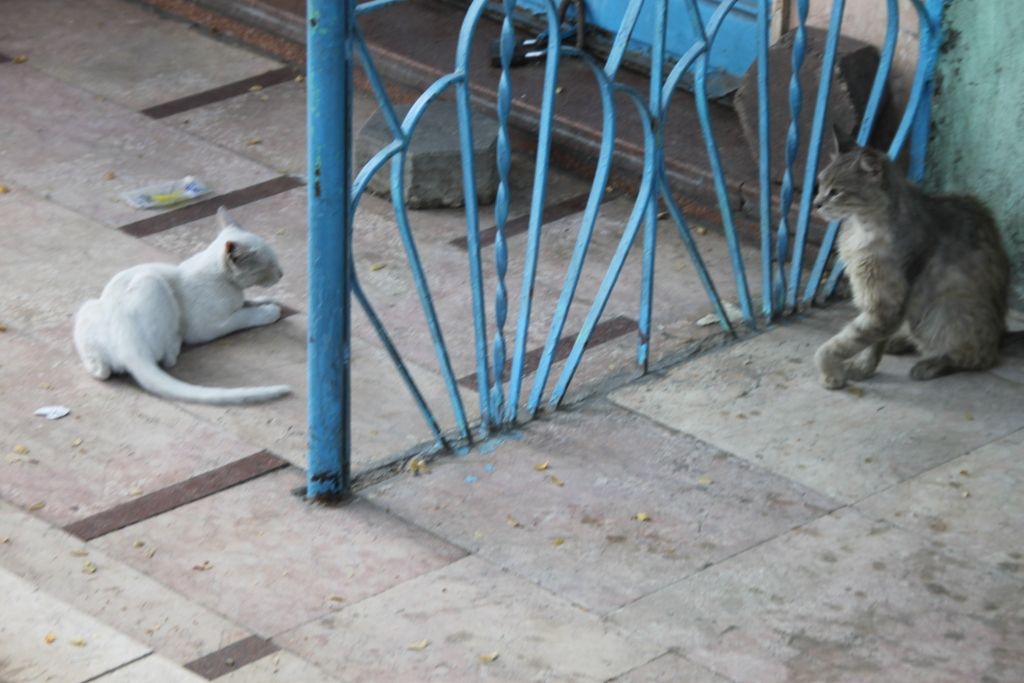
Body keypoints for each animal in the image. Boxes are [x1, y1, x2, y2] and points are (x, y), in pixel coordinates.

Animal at [74, 205, 292, 403]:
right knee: (167, 359)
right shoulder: (209, 327)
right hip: (153, 283)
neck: (229, 285)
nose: (282, 273)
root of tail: (127, 345)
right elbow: (243, 316)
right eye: (270, 265)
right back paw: (175, 342)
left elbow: (246, 302)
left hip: (87, 307)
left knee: (101, 372)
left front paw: (265, 300)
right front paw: (269, 312)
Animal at [811, 127, 1011, 389]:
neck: (862, 226)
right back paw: (899, 342)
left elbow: (838, 344)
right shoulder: (881, 305)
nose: (815, 204)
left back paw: (930, 365)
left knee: (977, 357)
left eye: (835, 191)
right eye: (820, 184)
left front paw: (831, 373)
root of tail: (1002, 336)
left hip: (943, 314)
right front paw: (863, 367)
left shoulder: (885, 303)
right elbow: (871, 342)